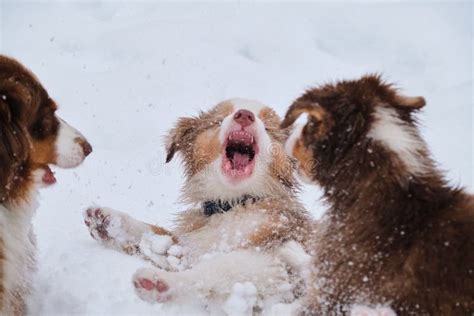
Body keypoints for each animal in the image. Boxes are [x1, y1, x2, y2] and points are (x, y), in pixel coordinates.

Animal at [84, 99, 314, 312]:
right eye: (219, 120)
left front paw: (162, 282)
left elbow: (221, 267)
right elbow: (161, 239)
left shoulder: (277, 258)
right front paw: (109, 222)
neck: (232, 204)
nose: (244, 115)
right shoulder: (189, 245)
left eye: (268, 128)